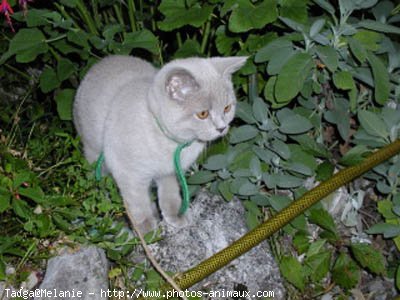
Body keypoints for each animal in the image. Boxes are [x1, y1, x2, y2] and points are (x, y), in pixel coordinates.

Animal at [73, 56, 245, 234]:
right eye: (203, 114)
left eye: (227, 108)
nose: (222, 128)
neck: (173, 144)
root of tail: (102, 62)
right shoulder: (129, 173)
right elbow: (138, 202)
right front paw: (147, 230)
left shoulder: (170, 171)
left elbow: (170, 194)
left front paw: (175, 215)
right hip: (93, 152)